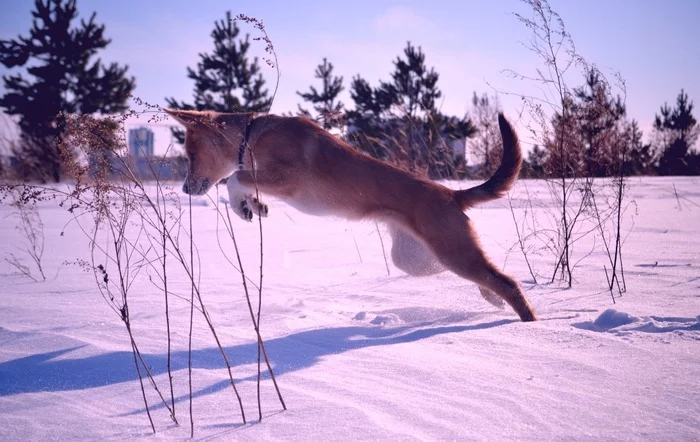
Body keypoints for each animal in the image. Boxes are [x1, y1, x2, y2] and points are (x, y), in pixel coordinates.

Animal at [167, 107, 540, 322]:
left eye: (191, 154)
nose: (185, 189)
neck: (251, 136)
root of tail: (452, 195)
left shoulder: (289, 180)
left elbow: (235, 178)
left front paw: (244, 203)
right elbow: (240, 183)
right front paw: (252, 206)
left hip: (452, 252)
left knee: (508, 283)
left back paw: (526, 323)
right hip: (420, 258)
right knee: (490, 277)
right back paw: (491, 299)